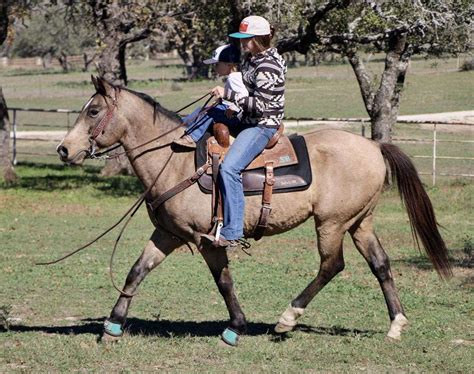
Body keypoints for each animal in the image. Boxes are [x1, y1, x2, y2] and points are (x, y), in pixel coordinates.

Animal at [55, 76, 452, 348]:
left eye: (93, 111)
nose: (63, 149)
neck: (175, 159)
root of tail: (374, 145)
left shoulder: (208, 240)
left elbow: (224, 282)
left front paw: (236, 327)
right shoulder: (168, 234)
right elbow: (137, 271)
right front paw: (112, 325)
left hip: (332, 223)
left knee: (331, 265)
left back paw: (287, 318)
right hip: (360, 223)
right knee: (380, 264)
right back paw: (396, 324)